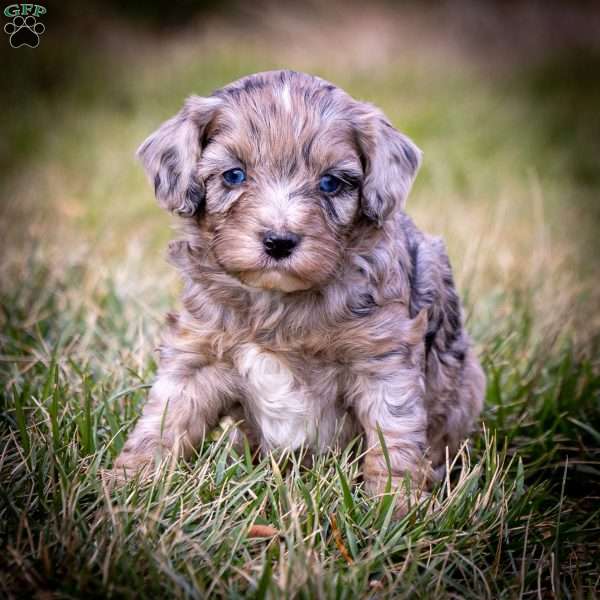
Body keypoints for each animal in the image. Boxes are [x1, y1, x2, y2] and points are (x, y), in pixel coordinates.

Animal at [113, 69, 488, 510]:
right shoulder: (197, 354)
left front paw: (394, 506)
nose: (279, 241)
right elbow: (164, 419)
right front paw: (128, 484)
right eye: (234, 175)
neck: (277, 303)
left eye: (330, 183)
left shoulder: (383, 362)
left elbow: (393, 439)